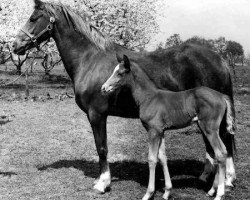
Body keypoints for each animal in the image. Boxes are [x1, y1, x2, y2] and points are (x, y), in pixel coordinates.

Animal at [100, 54, 235, 200]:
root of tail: (221, 96)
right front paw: (167, 191)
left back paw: (219, 194)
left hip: (210, 129)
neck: (149, 97)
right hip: (213, 129)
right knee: (222, 152)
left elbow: (152, 159)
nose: (104, 88)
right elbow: (163, 157)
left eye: (120, 73)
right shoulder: (161, 131)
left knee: (220, 153)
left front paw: (148, 193)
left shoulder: (153, 131)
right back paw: (212, 190)